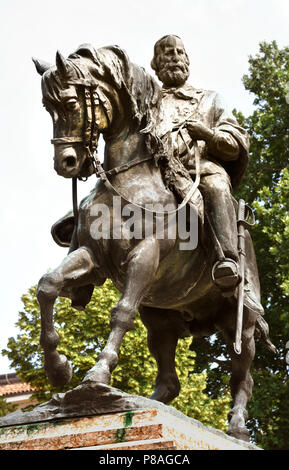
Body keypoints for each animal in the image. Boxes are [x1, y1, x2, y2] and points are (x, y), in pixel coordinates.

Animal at [32, 43, 274, 440]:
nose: (65, 162)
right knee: (169, 374)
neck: (130, 182)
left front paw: (96, 375)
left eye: (69, 103)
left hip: (242, 320)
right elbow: (48, 285)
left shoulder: (145, 256)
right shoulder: (91, 256)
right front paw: (59, 369)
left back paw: (237, 425)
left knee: (243, 374)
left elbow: (120, 312)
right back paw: (153, 402)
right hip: (161, 315)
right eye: (46, 107)